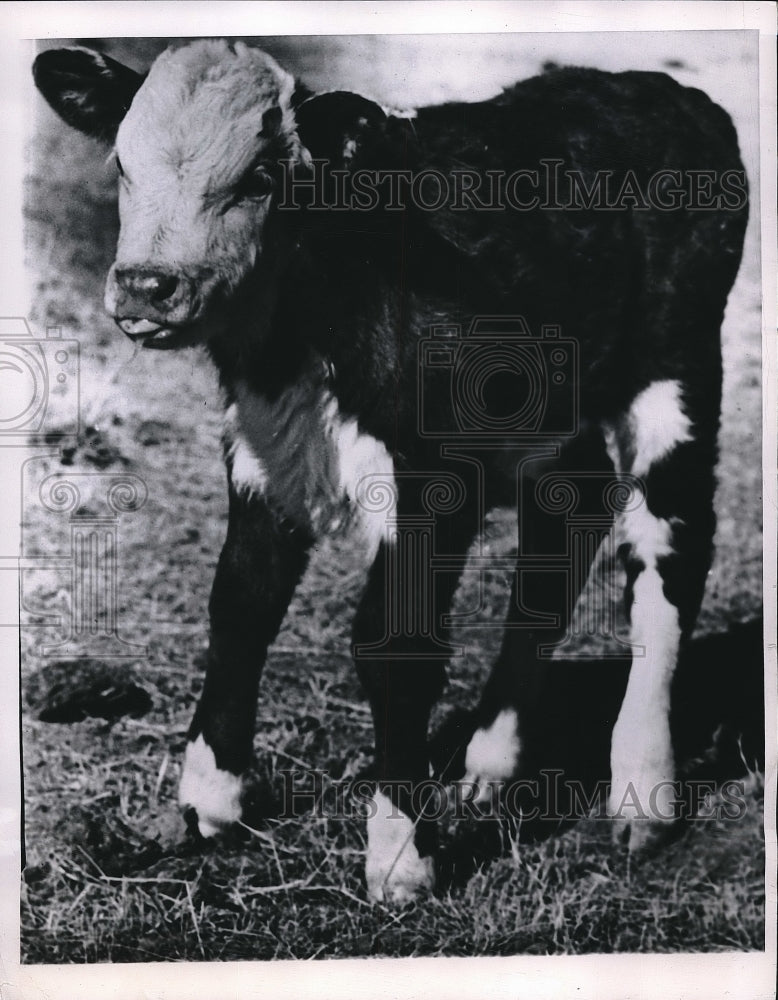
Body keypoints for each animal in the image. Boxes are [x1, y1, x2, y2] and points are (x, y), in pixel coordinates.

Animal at [34, 43, 744, 908]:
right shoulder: (264, 443)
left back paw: (644, 791)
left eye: (263, 177)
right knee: (569, 511)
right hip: (548, 406)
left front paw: (401, 853)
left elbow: (394, 644)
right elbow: (240, 602)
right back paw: (490, 761)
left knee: (669, 547)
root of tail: (656, 88)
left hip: (676, 364)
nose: (145, 286)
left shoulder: (431, 476)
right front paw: (209, 797)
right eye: (122, 163)